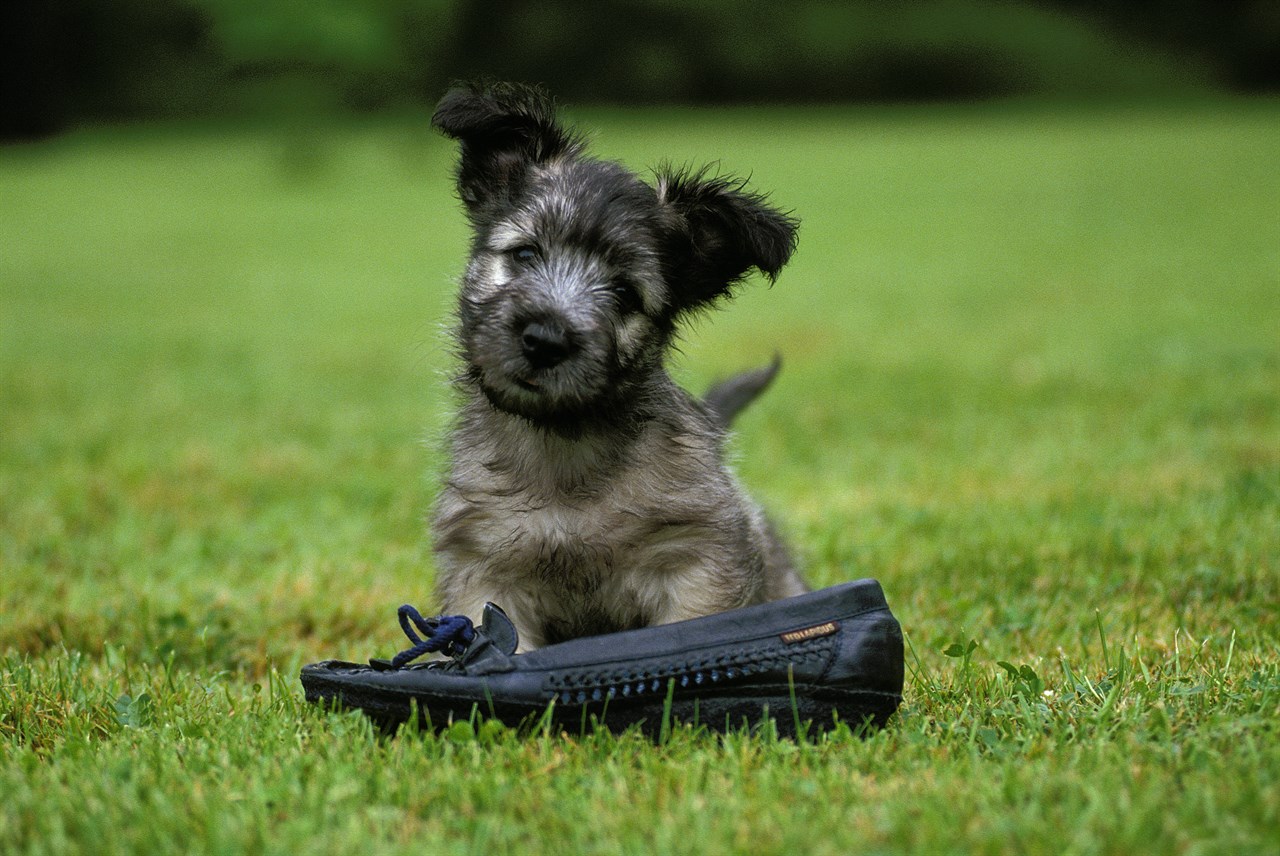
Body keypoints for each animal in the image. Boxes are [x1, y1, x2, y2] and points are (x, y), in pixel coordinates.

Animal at [430, 83, 808, 649]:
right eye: (524, 254)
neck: (564, 448)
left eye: (626, 293)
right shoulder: (485, 571)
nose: (545, 341)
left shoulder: (699, 563)